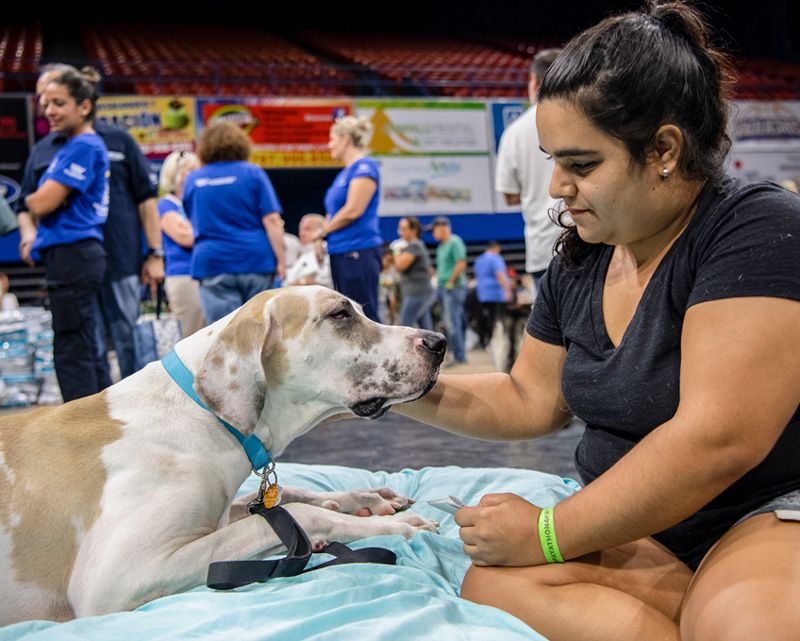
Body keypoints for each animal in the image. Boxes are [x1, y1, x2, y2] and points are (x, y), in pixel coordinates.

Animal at [0, 288, 446, 624]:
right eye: (340, 314)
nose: (439, 342)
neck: (201, 414)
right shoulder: (118, 577)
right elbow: (299, 514)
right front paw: (398, 526)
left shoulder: (217, 516)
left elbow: (287, 499)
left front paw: (366, 499)